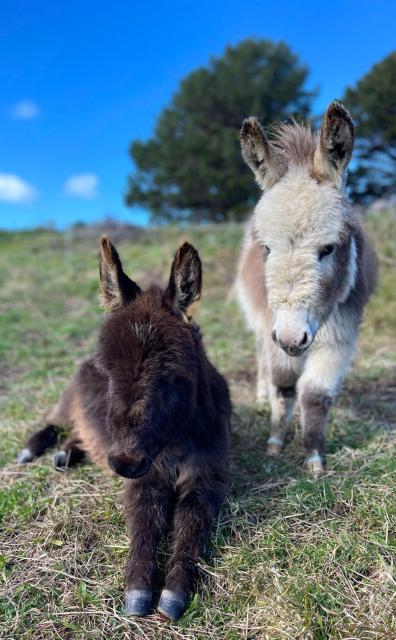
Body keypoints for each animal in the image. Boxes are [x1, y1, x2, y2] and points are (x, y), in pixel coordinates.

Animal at [17, 238, 230, 616]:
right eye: (107, 371)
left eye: (173, 376)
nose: (123, 463)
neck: (174, 445)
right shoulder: (145, 480)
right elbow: (144, 524)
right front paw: (138, 590)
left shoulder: (207, 478)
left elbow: (191, 526)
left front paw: (174, 593)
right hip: (66, 405)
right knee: (53, 424)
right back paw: (32, 451)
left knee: (78, 435)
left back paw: (65, 456)